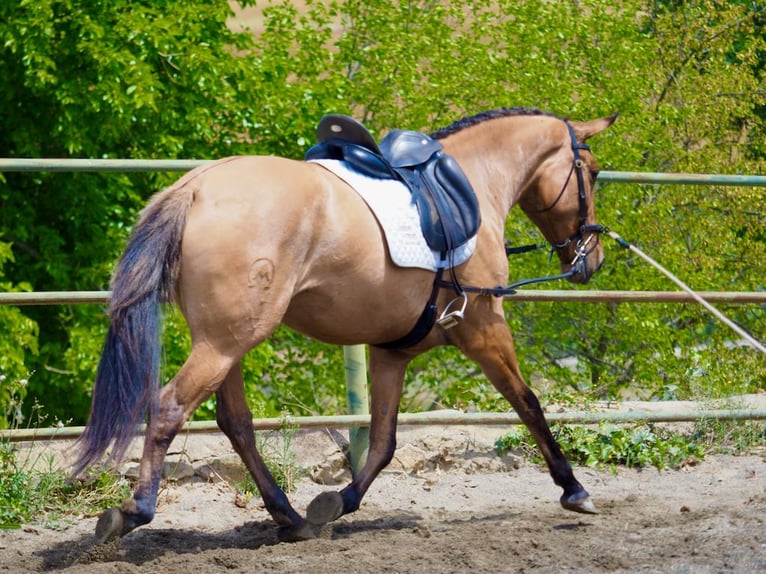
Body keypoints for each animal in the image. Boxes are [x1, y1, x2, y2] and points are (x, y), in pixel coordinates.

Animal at [72, 107, 620, 544]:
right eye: (591, 172)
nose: (591, 259)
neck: (471, 185)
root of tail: (197, 186)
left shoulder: (391, 351)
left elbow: (382, 442)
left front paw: (337, 502)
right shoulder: (484, 329)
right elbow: (528, 403)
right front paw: (574, 489)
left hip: (227, 342)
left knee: (236, 422)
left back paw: (291, 517)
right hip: (225, 342)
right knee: (169, 406)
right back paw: (134, 511)